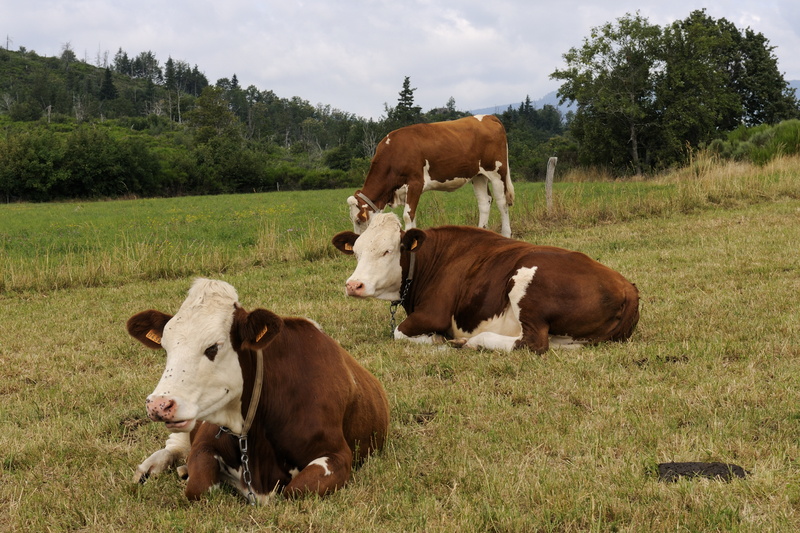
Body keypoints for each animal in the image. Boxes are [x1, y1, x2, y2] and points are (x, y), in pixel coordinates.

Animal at [126, 278, 390, 502]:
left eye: (213, 347)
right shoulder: (204, 443)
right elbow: (198, 486)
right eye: (165, 347)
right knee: (174, 447)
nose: (159, 405)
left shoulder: (338, 455)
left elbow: (296, 490)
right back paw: (151, 467)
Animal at [334, 212, 640, 354]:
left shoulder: (434, 313)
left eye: (387, 251)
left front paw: (436, 339)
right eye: (357, 252)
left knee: (533, 343)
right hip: (573, 338)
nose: (353, 285)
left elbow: (398, 333)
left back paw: (469, 342)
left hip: (526, 285)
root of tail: (627, 286)